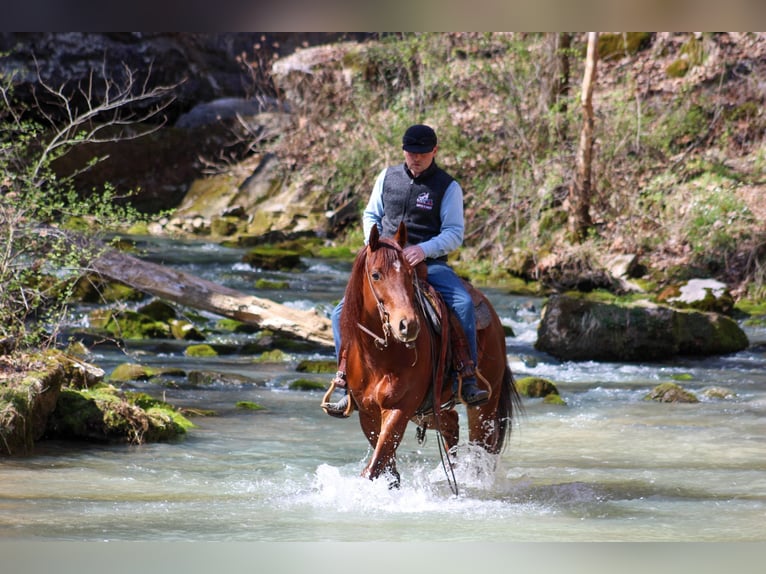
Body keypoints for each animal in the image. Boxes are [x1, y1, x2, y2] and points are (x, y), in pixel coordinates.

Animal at [329, 221, 521, 488]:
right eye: (376, 275)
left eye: (409, 275)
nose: (408, 325)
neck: (379, 358)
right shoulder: (368, 413)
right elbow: (386, 466)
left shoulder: (400, 408)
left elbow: (375, 466)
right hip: (432, 408)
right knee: (452, 427)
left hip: (484, 406)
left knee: (481, 446)